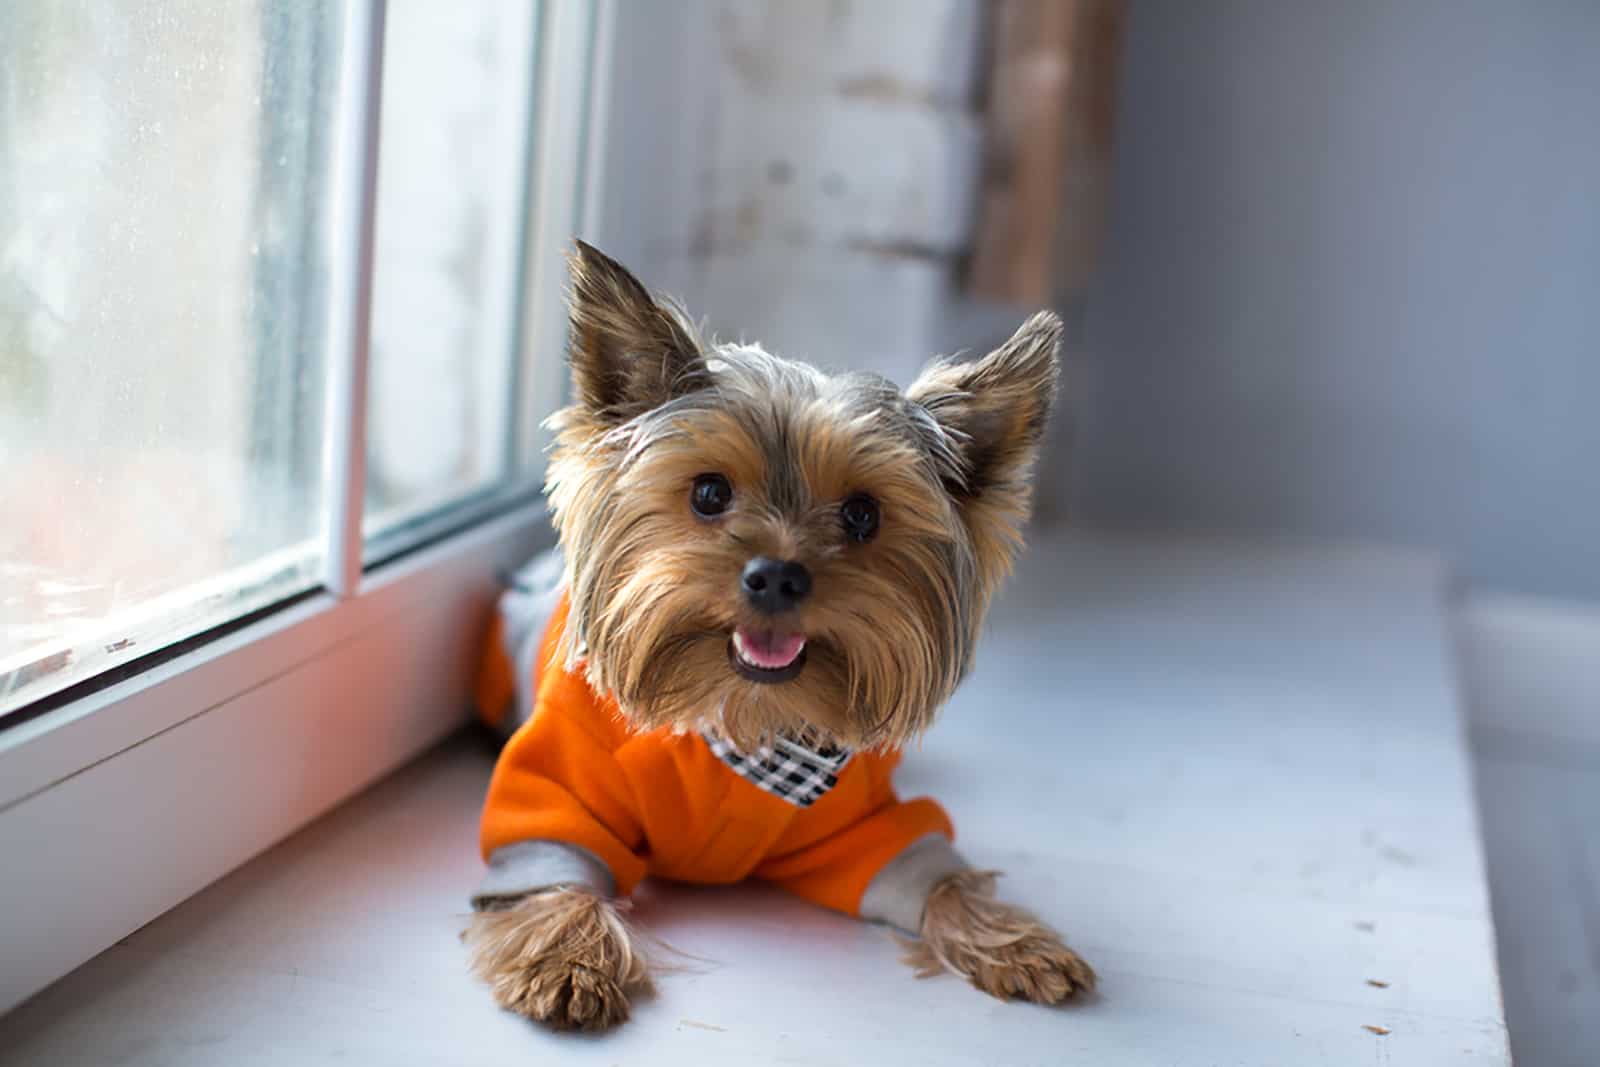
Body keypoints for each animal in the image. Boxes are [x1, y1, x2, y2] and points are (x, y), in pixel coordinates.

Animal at [457, 239, 1094, 1023]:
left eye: (862, 514)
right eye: (709, 492)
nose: (777, 576)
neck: (744, 717)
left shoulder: (866, 828)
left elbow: (935, 873)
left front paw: (1013, 938)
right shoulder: (557, 789)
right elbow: (553, 868)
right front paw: (569, 960)